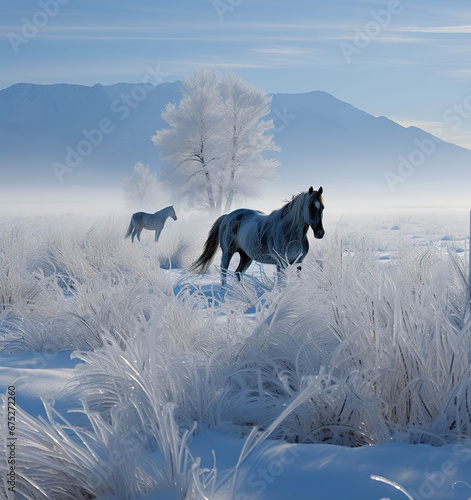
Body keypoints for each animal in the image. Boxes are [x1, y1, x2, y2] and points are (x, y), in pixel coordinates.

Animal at [189, 186, 324, 284]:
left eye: (322, 207)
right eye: (310, 207)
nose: (320, 233)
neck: (291, 233)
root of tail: (227, 216)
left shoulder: (298, 262)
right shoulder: (281, 263)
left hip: (246, 257)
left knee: (238, 273)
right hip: (228, 253)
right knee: (224, 273)